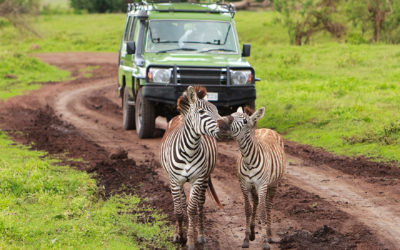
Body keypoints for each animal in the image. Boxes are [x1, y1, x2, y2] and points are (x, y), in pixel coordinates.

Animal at [219, 106, 288, 249]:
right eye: (231, 114)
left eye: (245, 121)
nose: (221, 123)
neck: (248, 160)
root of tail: (268, 129)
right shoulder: (244, 185)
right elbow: (248, 210)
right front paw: (246, 239)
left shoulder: (262, 185)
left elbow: (262, 212)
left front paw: (265, 242)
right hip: (254, 187)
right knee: (256, 202)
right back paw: (252, 232)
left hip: (273, 184)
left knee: (268, 205)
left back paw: (269, 234)